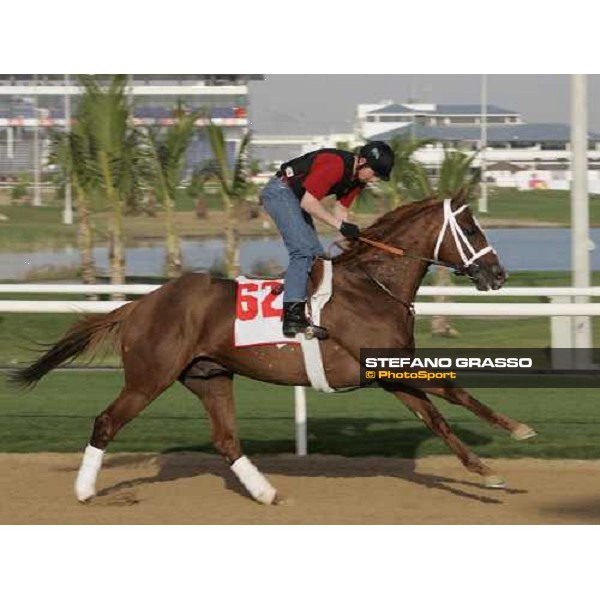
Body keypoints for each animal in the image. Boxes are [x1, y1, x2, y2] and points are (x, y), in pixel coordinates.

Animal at [12, 196, 536, 502]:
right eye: (472, 230)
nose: (499, 275)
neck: (373, 285)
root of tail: (140, 303)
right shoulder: (391, 364)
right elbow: (454, 392)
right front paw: (518, 429)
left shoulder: (387, 373)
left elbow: (438, 418)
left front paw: (486, 470)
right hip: (149, 377)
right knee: (106, 422)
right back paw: (84, 491)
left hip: (209, 376)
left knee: (226, 441)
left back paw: (265, 492)